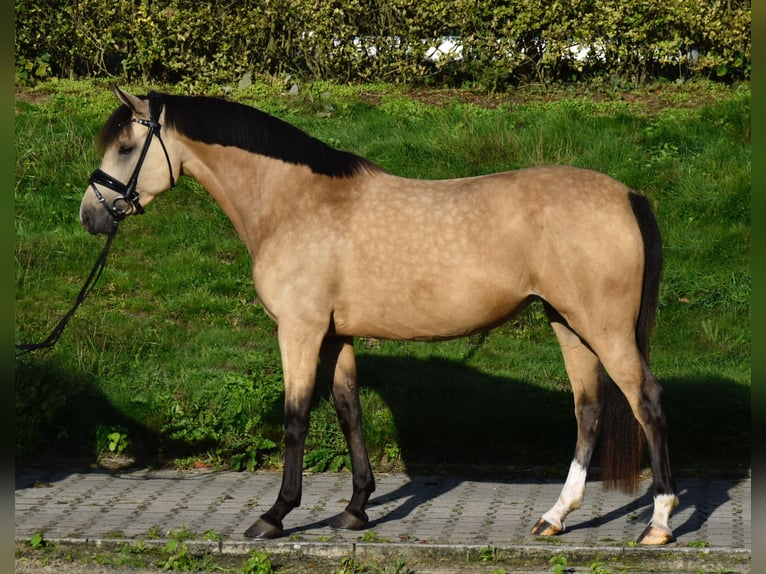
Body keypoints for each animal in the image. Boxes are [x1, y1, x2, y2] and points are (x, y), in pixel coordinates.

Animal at [80, 87, 678, 545]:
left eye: (127, 147)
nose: (91, 216)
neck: (295, 201)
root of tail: (627, 194)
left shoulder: (299, 330)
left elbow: (297, 418)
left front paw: (275, 516)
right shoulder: (335, 335)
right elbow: (349, 411)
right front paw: (355, 509)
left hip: (603, 328)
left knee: (646, 401)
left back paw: (659, 523)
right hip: (568, 322)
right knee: (589, 409)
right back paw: (555, 517)